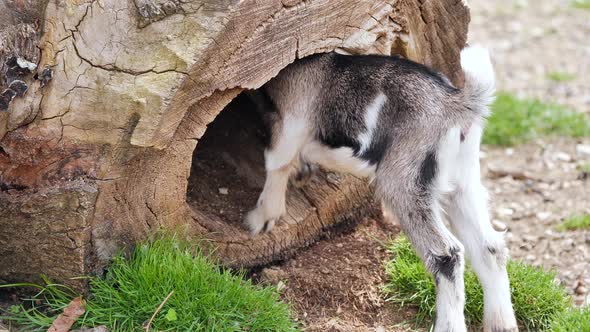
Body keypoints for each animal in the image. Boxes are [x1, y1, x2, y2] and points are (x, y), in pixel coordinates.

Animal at [245, 46, 520, 332]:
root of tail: (457, 102)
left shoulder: (292, 122)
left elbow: (277, 163)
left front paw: (261, 219)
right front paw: (301, 174)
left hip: (403, 183)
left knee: (448, 254)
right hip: (463, 183)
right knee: (490, 247)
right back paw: (501, 324)